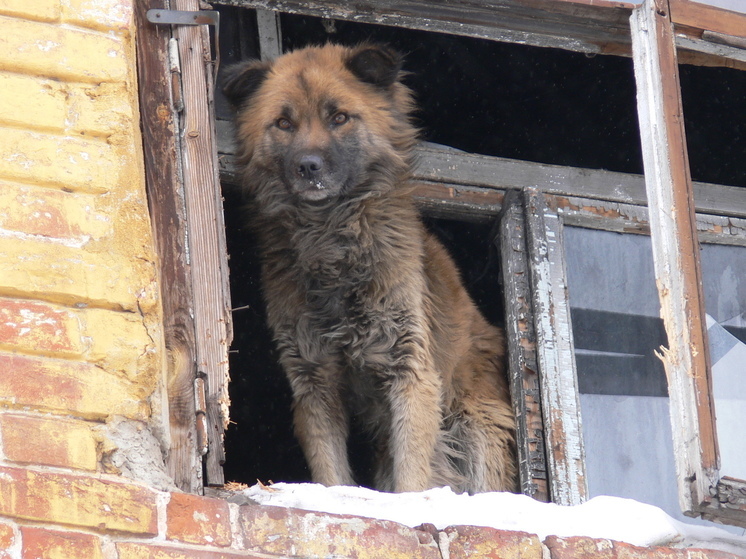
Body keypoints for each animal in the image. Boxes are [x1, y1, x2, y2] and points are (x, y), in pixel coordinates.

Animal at [221, 44, 516, 494]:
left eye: (339, 117)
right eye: (284, 123)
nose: (308, 166)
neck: (331, 241)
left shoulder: (411, 370)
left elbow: (412, 474)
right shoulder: (313, 382)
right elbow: (330, 473)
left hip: (477, 424)